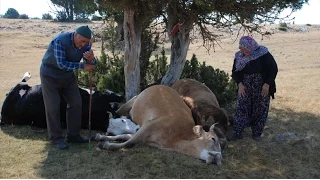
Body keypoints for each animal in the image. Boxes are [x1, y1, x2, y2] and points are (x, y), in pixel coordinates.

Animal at [92, 85, 222, 165]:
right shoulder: (149, 125)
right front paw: (104, 143)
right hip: (131, 101)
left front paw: (100, 137)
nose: (219, 157)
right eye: (213, 138)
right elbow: (129, 143)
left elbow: (126, 137)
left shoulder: (144, 135)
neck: (175, 138)